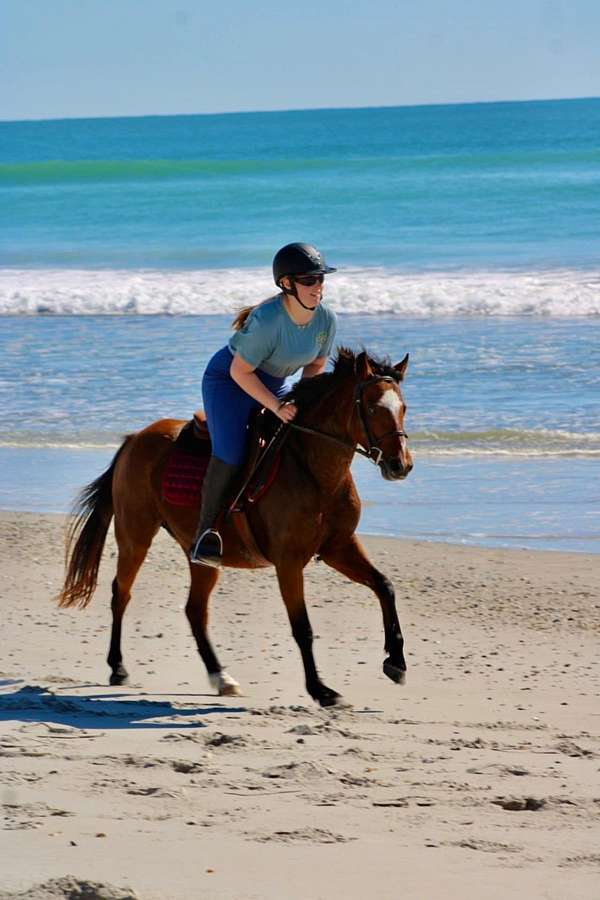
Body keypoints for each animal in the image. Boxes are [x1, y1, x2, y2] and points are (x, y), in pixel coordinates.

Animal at [57, 347, 413, 707]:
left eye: (404, 408)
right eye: (373, 408)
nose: (401, 465)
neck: (316, 471)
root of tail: (134, 439)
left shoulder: (339, 546)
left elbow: (384, 586)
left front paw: (395, 662)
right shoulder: (288, 562)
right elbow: (303, 627)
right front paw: (320, 690)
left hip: (199, 555)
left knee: (194, 610)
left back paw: (221, 677)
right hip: (135, 535)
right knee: (122, 593)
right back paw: (118, 667)